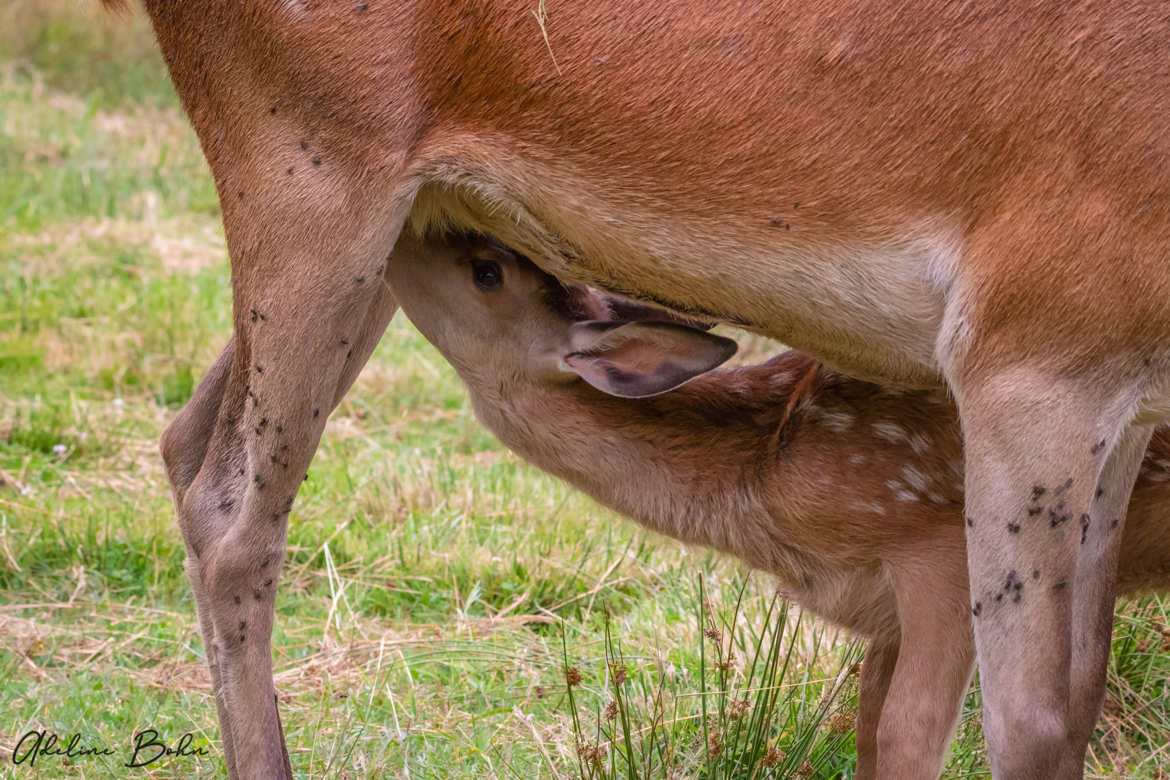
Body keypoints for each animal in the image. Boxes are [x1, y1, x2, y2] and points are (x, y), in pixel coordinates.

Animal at [388, 235, 1170, 780]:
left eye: (487, 268)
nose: (406, 232)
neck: (768, 470)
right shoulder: (883, 612)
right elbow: (866, 727)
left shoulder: (937, 545)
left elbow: (907, 736)